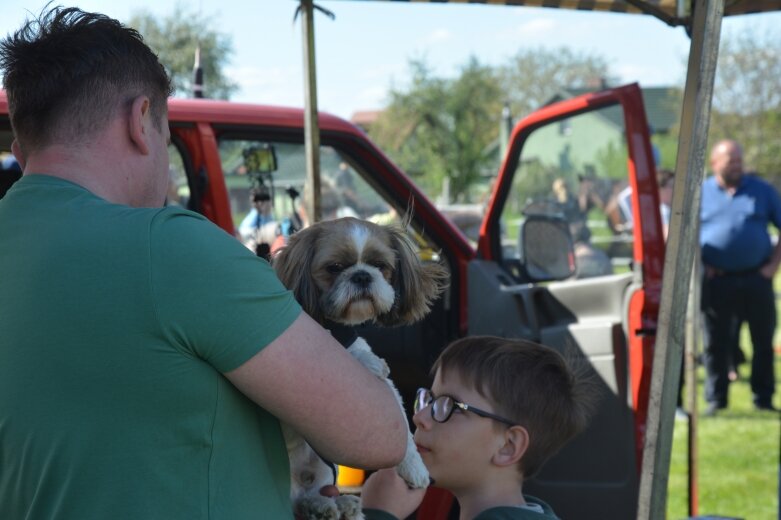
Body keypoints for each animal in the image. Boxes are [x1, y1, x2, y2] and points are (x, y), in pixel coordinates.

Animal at [272, 215, 448, 520]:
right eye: (334, 268)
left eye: (380, 265)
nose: (362, 275)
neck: (335, 328)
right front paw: (369, 362)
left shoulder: (386, 387)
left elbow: (403, 427)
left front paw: (415, 468)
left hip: (321, 472)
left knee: (310, 496)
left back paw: (332, 505)